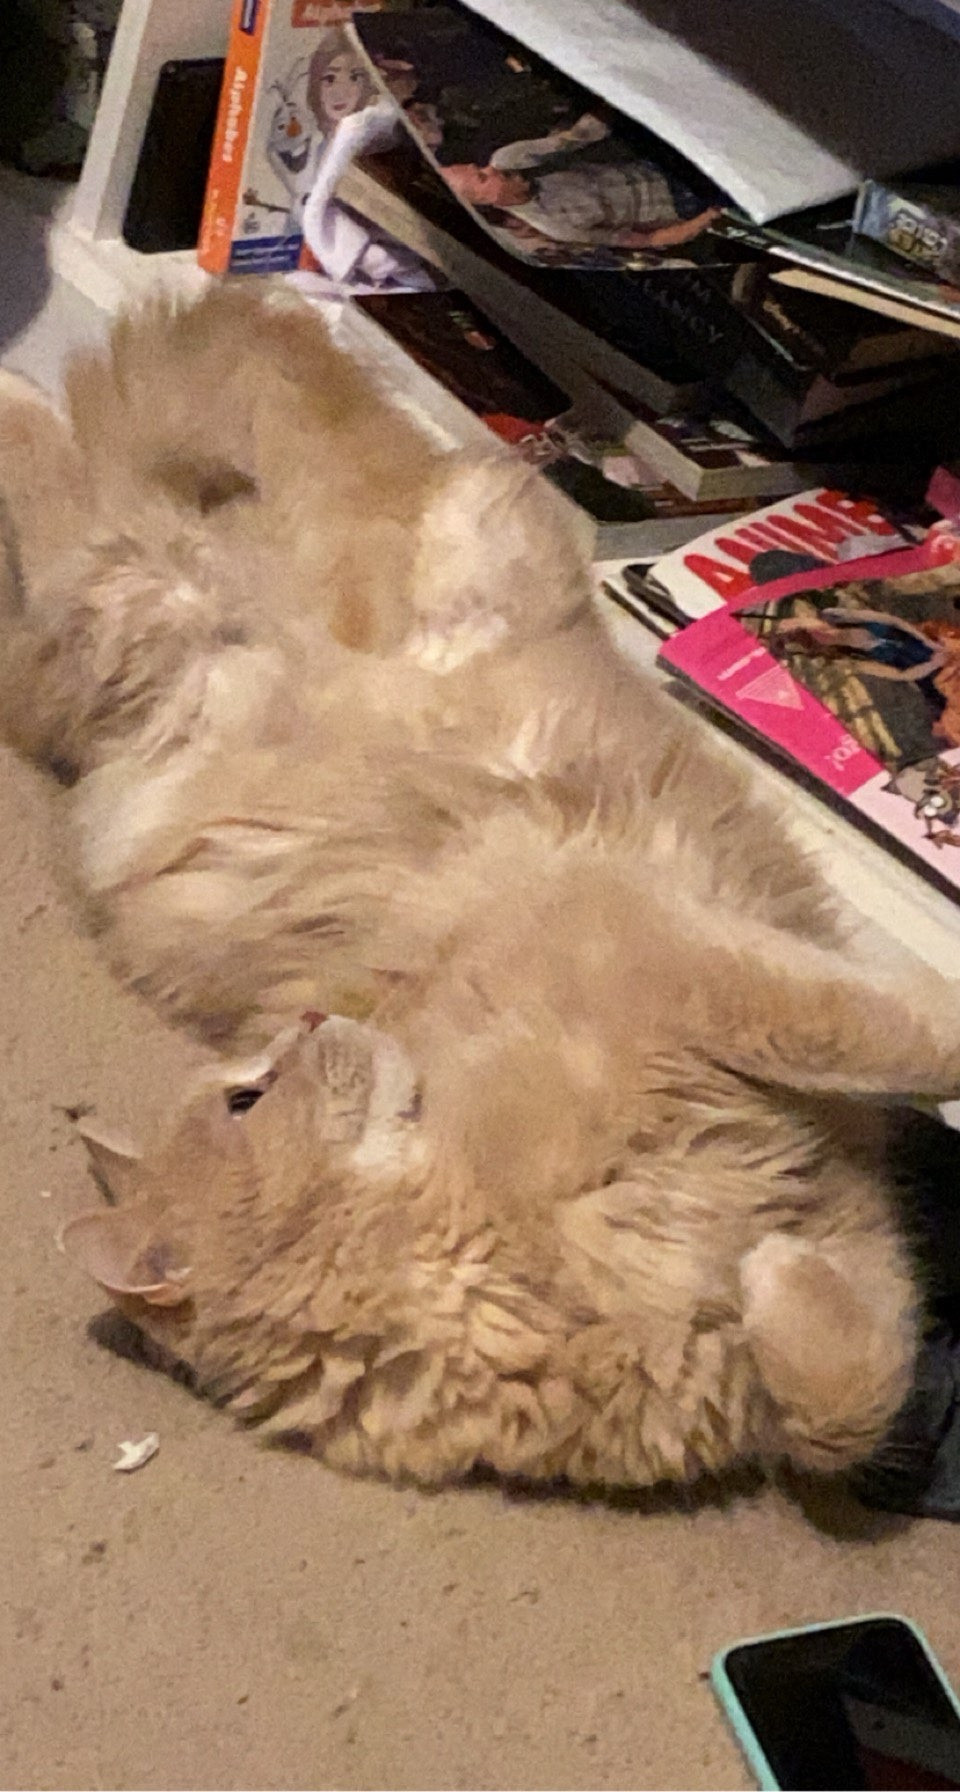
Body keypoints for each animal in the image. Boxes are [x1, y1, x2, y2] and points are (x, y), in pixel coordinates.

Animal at [1, 283, 960, 1483]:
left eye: (245, 1094)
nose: (309, 1019)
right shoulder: (824, 1253)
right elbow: (847, 1397)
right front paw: (772, 1280)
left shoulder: (659, 961)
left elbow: (878, 1041)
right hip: (120, 634)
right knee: (87, 491)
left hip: (241, 584)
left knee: (234, 419)